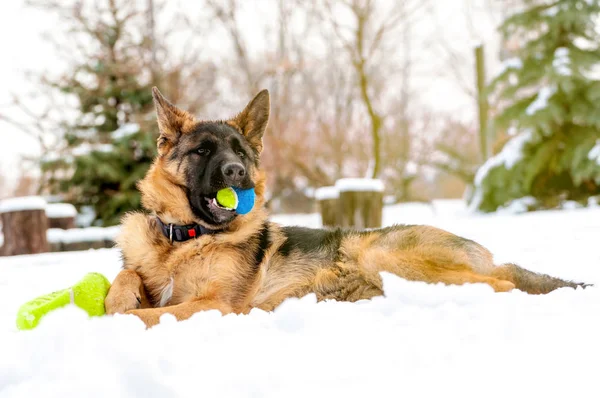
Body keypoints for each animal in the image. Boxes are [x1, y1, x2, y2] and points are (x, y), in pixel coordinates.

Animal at [105, 87, 588, 326]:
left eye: (239, 152)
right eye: (203, 151)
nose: (236, 172)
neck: (185, 239)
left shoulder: (217, 304)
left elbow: (158, 313)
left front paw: (118, 321)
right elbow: (128, 276)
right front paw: (117, 299)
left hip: (385, 256)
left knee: (499, 284)